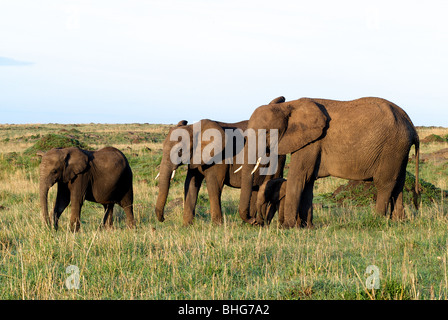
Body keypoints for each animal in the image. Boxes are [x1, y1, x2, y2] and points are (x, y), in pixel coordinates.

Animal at [155, 97, 288, 225]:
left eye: (179, 151)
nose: (163, 219)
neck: (193, 127)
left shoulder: (219, 157)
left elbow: (213, 184)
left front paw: (216, 226)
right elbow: (191, 183)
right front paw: (187, 226)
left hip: (277, 159)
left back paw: (259, 224)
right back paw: (250, 224)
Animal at [238, 96, 420, 229]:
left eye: (268, 133)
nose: (254, 221)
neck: (289, 106)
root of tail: (411, 124)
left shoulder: (311, 142)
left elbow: (298, 177)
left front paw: (286, 228)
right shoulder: (310, 142)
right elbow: (308, 181)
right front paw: (307, 227)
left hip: (392, 147)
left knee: (385, 184)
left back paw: (378, 220)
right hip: (400, 149)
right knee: (399, 183)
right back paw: (399, 221)